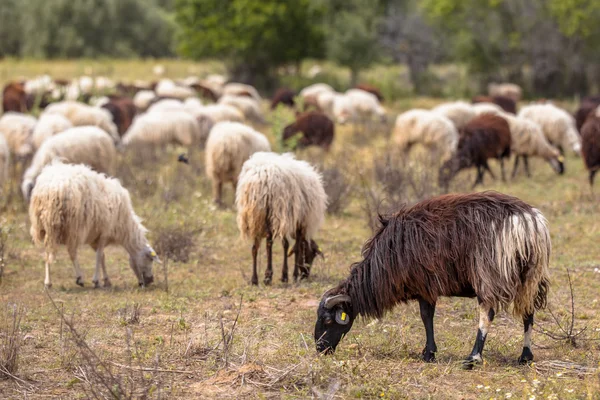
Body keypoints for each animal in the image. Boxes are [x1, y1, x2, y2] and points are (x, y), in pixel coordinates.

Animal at [29, 161, 161, 290]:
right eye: (150, 260)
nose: (150, 281)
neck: (124, 227)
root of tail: (53, 188)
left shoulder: (95, 237)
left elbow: (102, 256)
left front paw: (106, 280)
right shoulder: (104, 233)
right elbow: (98, 256)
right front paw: (96, 281)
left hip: (46, 226)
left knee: (48, 252)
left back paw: (48, 282)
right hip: (72, 226)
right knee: (71, 252)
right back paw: (79, 278)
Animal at [236, 152, 328, 286]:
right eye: (311, 255)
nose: (306, 275)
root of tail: (262, 177)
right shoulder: (297, 221)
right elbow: (295, 247)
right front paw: (291, 275)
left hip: (256, 216)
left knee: (255, 247)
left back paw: (255, 279)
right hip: (278, 211)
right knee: (272, 243)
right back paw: (270, 276)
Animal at [316, 191, 552, 368]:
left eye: (328, 320)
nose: (319, 349)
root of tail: (526, 222)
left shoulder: (424, 285)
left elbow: (426, 317)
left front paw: (429, 353)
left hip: (490, 273)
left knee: (487, 314)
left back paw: (473, 358)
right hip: (531, 276)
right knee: (528, 313)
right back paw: (525, 356)